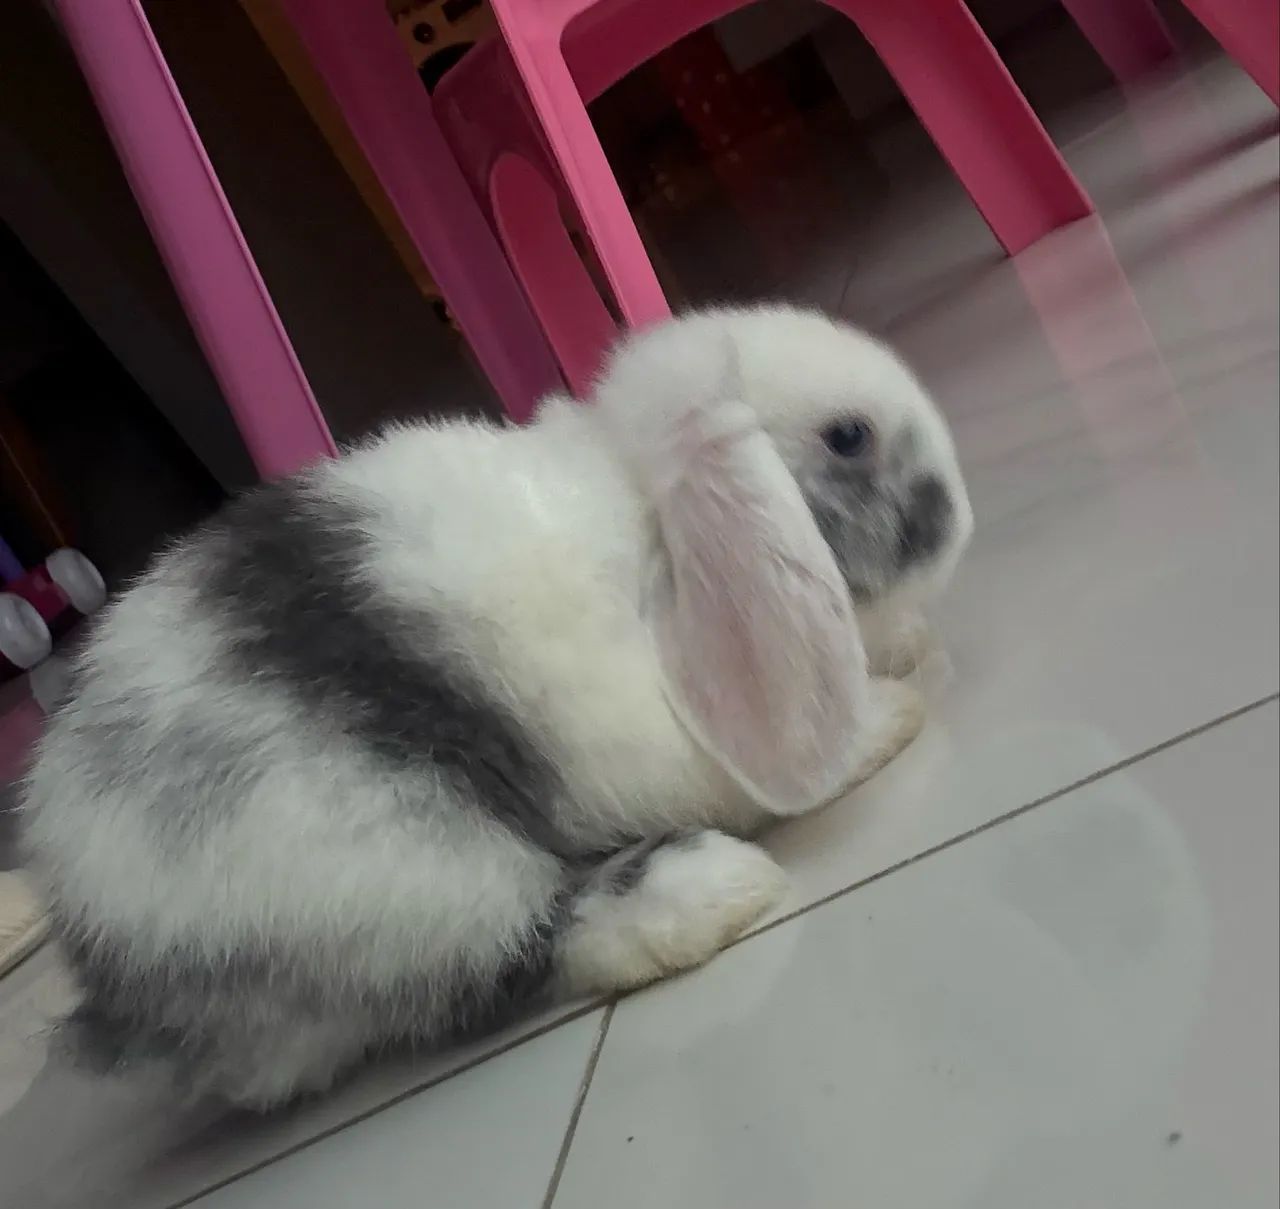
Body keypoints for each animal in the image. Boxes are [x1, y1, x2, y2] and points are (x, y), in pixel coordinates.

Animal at [20, 304, 972, 1109]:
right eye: (849, 435)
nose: (957, 515)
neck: (644, 516)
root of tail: (112, 967)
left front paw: (902, 647)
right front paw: (888, 714)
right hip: (394, 864)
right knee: (512, 954)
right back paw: (709, 891)